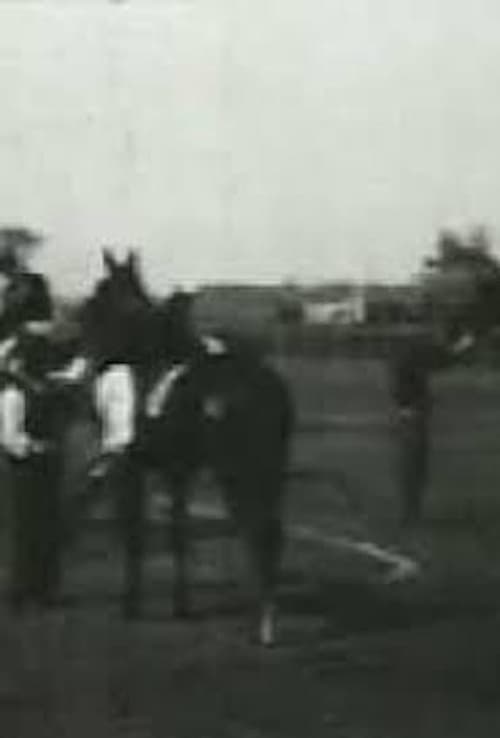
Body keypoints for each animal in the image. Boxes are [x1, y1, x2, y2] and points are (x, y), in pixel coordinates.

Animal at [80, 252, 294, 644]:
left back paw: (264, 624)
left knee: (260, 532)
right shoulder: (178, 472)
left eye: (99, 295)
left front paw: (131, 605)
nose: (88, 349)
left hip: (239, 473)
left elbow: (136, 534)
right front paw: (181, 604)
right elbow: (178, 533)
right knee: (270, 532)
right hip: (268, 471)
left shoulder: (131, 470)